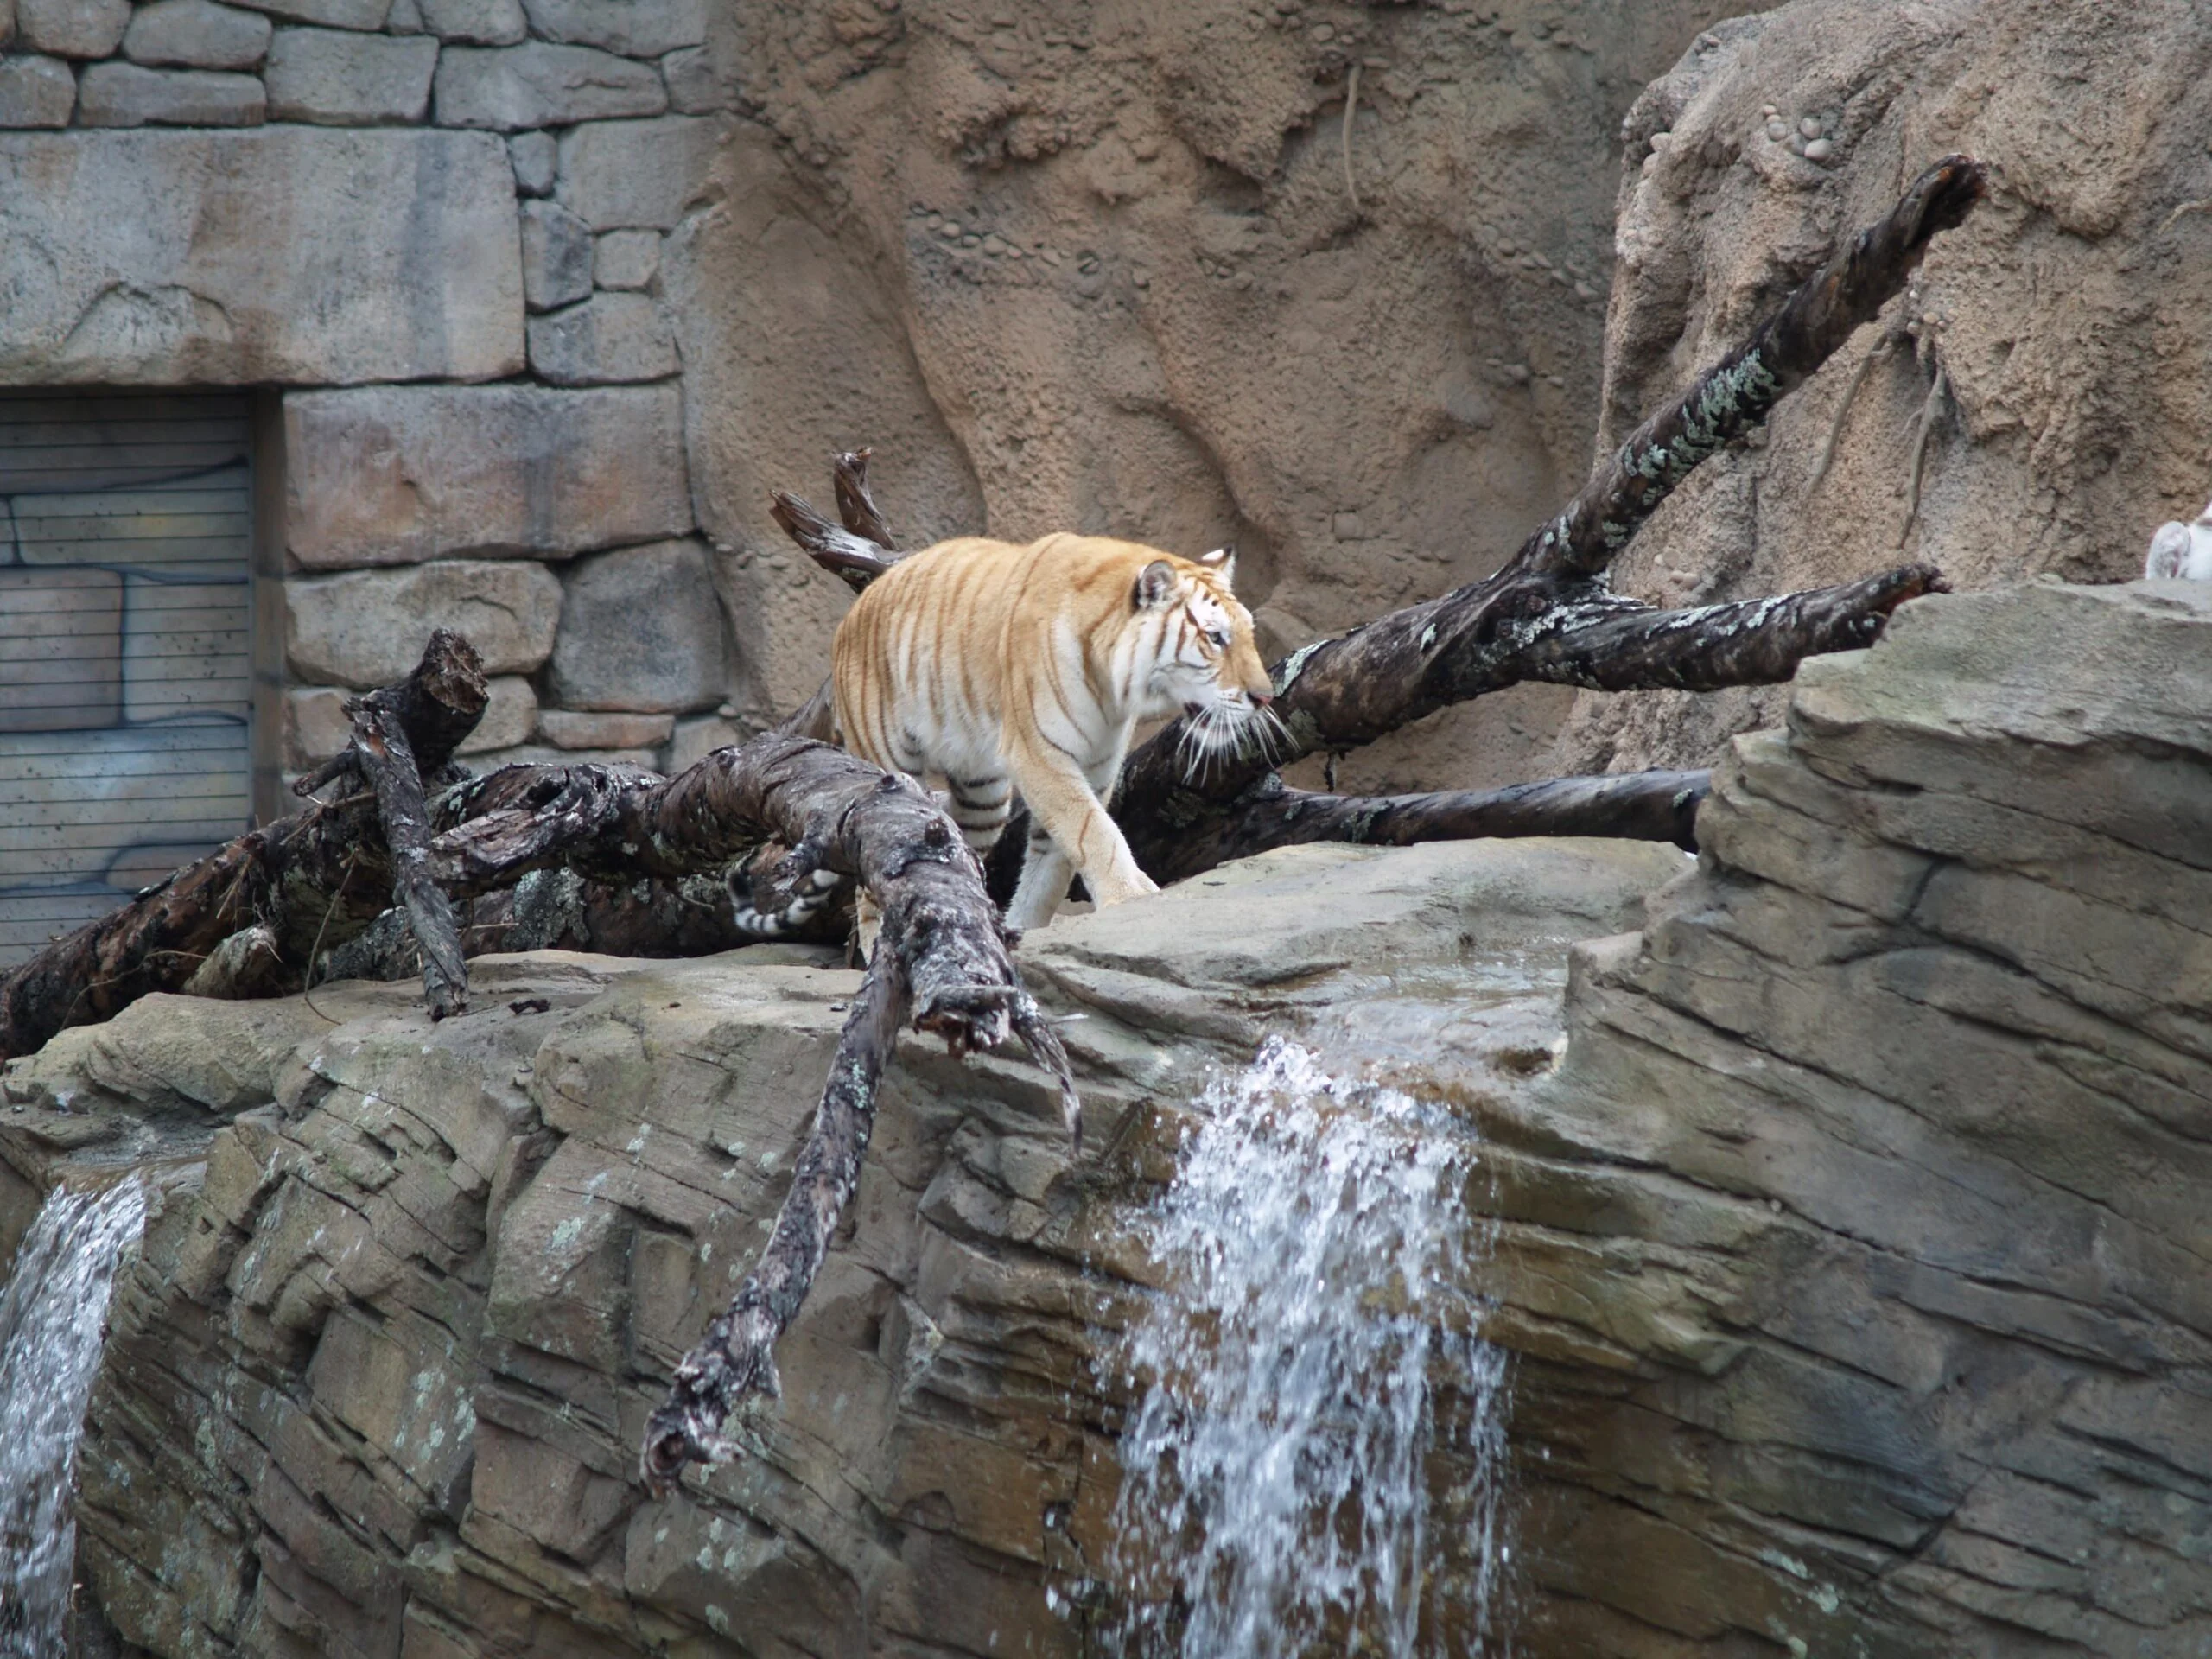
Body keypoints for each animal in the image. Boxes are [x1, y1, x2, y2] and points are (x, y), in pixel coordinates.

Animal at [813, 532, 1280, 946]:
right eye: (1215, 637)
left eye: (1248, 633)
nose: (1264, 697)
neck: (1111, 690)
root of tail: (851, 614)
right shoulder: (1039, 755)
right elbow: (1093, 830)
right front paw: (1130, 897)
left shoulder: (1096, 765)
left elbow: (1054, 862)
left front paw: (1026, 930)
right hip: (888, 766)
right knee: (869, 889)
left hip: (984, 800)